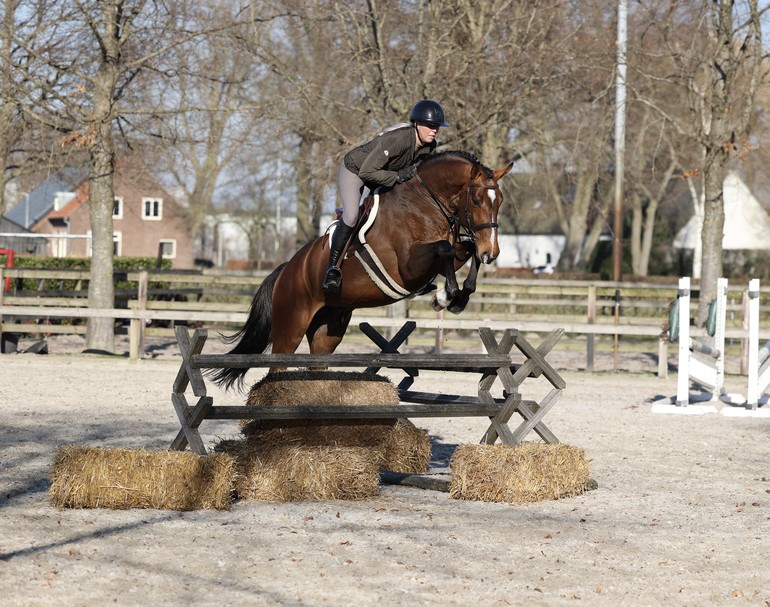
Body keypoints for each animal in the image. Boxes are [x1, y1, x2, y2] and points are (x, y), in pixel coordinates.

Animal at [207, 150, 512, 392]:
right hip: (290, 326)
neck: (425, 202)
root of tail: (286, 270)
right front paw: (445, 297)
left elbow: (465, 251)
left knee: (317, 366)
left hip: (328, 329)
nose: (493, 252)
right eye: (476, 201)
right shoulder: (408, 267)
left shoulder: (449, 253)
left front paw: (460, 296)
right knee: (276, 368)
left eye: (500, 201)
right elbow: (444, 249)